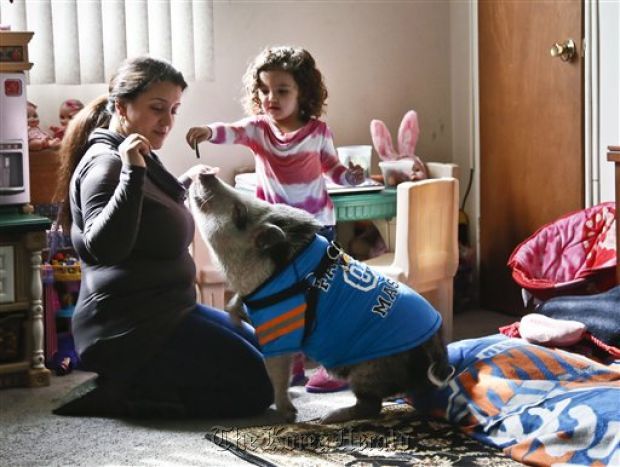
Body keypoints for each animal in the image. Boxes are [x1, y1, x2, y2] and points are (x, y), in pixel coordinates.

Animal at [188, 170, 450, 426]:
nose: (206, 173)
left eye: (239, 213)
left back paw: (330, 417)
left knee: (371, 406)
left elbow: (275, 369)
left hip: (368, 368)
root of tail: (437, 347)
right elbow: (236, 305)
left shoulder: (278, 326)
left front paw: (289, 416)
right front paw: (234, 320)